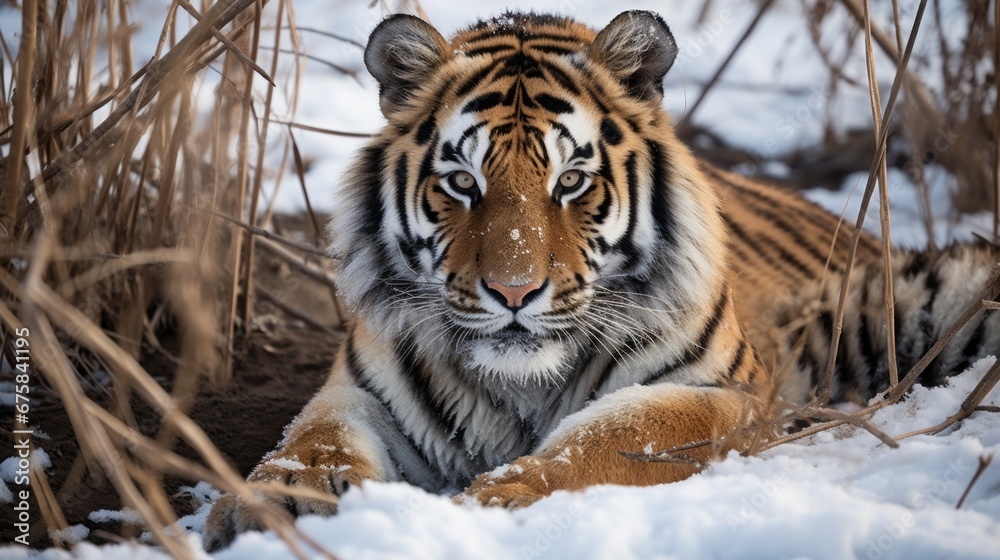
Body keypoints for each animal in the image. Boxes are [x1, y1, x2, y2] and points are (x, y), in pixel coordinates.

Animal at [203, 10, 1000, 550]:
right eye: (462, 182)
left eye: (571, 181)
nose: (514, 294)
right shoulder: (360, 389)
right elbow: (312, 438)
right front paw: (277, 500)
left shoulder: (725, 394)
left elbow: (610, 439)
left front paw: (505, 496)